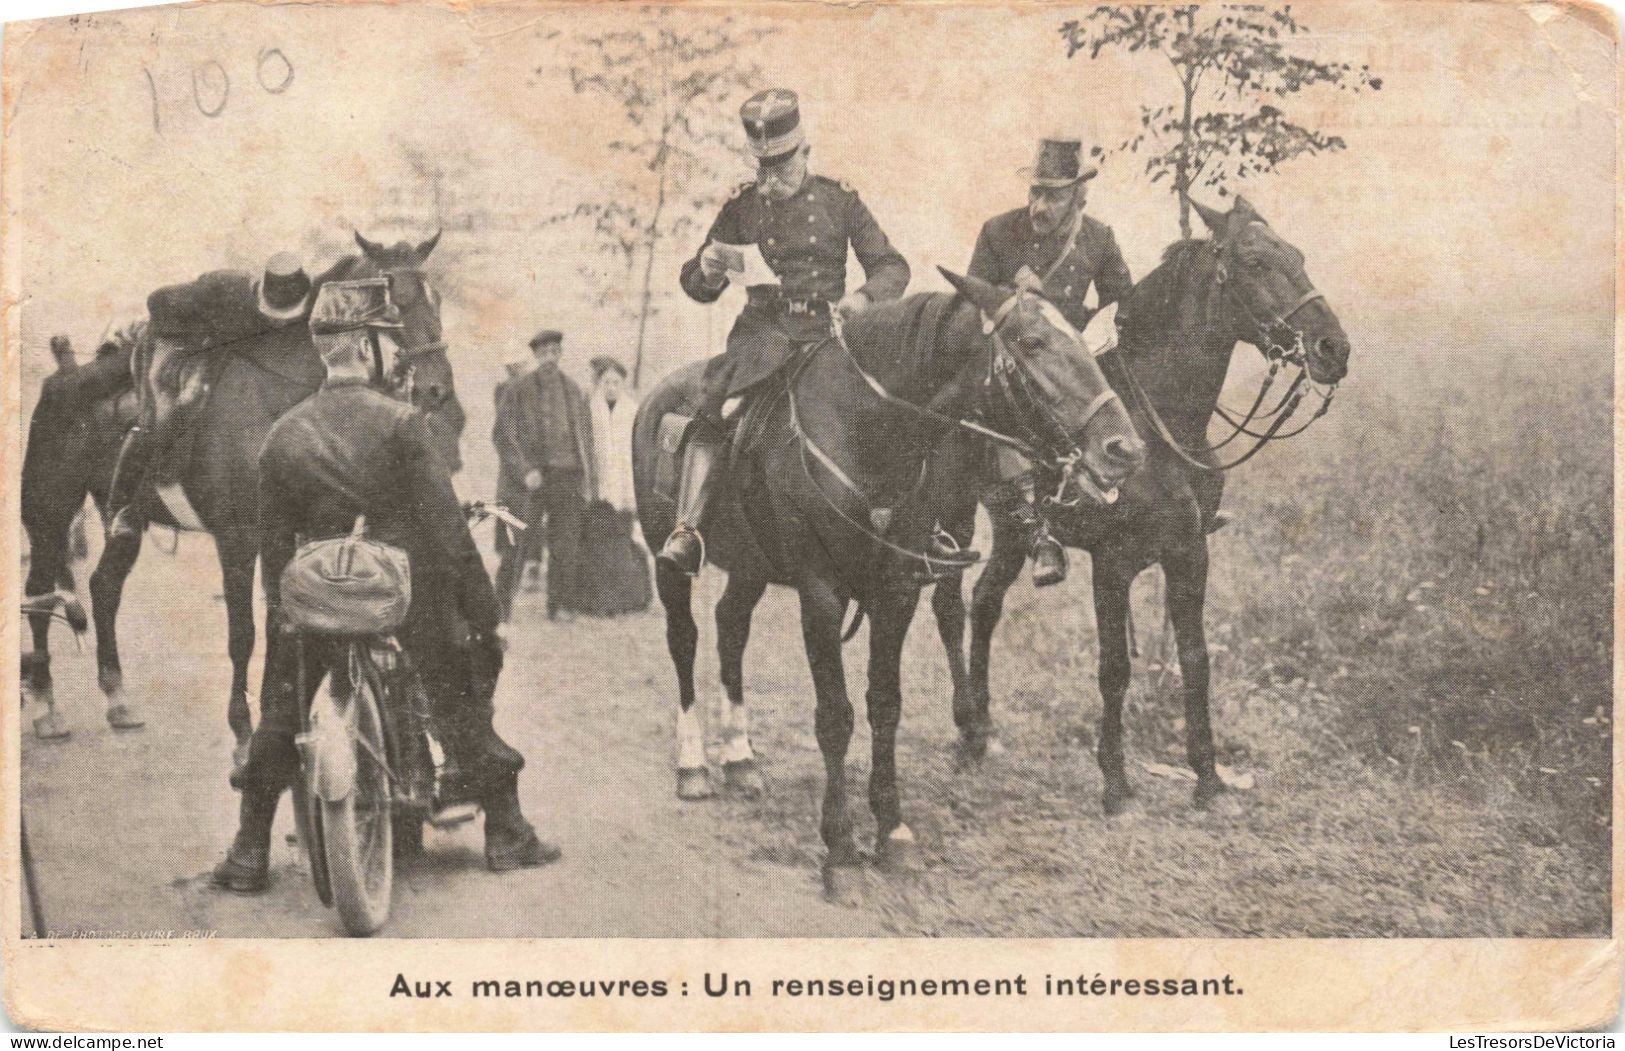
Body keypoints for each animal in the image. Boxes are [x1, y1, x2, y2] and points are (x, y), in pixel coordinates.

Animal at [20, 233, 464, 753]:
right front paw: (242, 730)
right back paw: (47, 706)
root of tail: (60, 380)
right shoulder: (238, 538)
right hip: (49, 516)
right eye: (396, 302)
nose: (437, 390)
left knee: (103, 588)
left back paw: (117, 698)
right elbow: (245, 635)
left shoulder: (286, 532)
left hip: (126, 520)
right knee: (40, 594)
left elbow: (281, 622)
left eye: (436, 299)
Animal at [627, 271, 1150, 896]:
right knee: (684, 643)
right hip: (668, 562)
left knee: (731, 628)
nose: (1125, 449)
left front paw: (891, 830)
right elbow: (835, 716)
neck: (869, 430)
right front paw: (839, 845)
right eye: (1031, 342)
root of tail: (656, 396)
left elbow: (885, 706)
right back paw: (693, 767)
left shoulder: (896, 592)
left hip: (752, 567)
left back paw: (741, 759)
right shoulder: (821, 593)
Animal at [936, 197, 1352, 815]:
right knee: (949, 607)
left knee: (985, 603)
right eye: (1254, 261)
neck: (1161, 420)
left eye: (1297, 256)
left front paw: (1208, 779)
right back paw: (965, 732)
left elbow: (1196, 659)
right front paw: (1114, 782)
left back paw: (982, 732)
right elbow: (1114, 669)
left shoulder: (1189, 551)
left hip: (1012, 534)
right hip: (951, 519)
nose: (1334, 349)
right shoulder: (1113, 562)